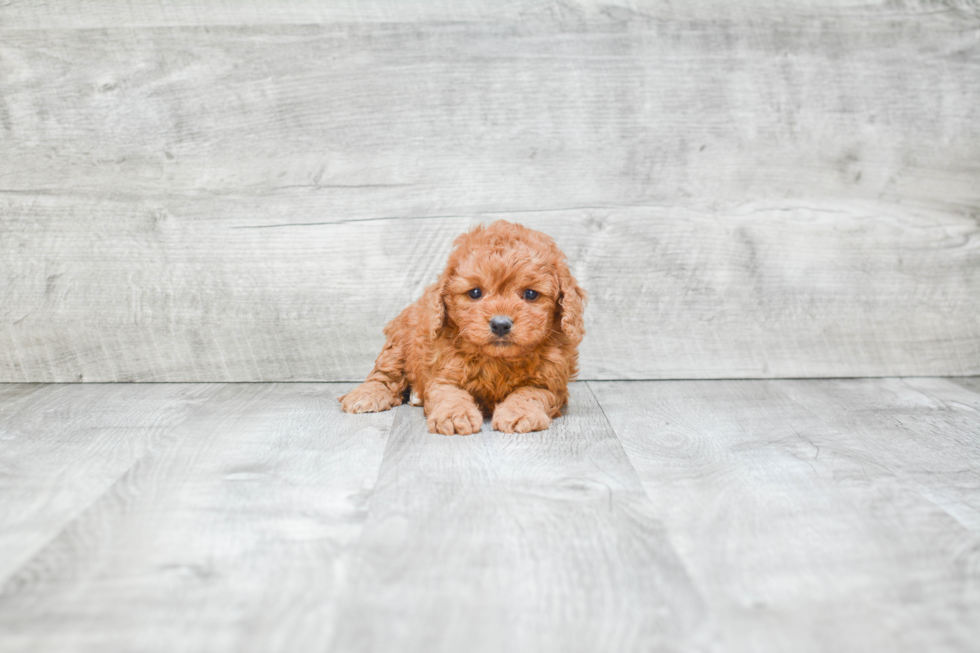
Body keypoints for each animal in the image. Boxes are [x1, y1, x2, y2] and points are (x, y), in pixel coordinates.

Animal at [338, 219, 580, 432]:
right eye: (475, 292)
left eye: (530, 294)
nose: (500, 324)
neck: (497, 360)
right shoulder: (444, 374)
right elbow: (451, 395)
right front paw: (455, 416)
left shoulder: (550, 382)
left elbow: (530, 393)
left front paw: (519, 413)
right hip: (399, 341)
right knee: (384, 375)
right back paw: (366, 395)